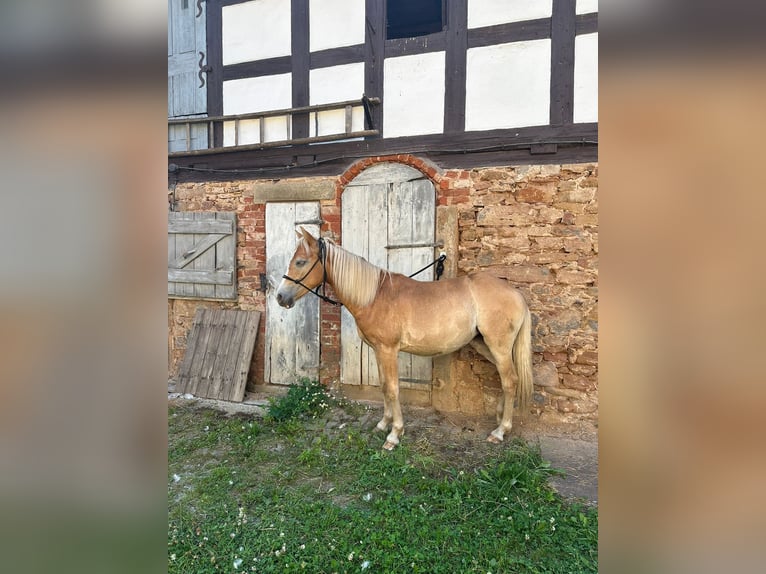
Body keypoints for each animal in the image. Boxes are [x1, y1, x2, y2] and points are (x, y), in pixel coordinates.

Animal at [276, 228, 536, 450]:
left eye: (300, 262)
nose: (280, 297)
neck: (374, 296)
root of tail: (516, 294)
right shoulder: (378, 350)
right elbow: (383, 386)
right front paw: (383, 424)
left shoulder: (388, 350)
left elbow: (392, 388)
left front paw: (394, 434)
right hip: (485, 346)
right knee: (507, 379)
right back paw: (500, 417)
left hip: (498, 346)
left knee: (510, 380)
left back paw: (500, 431)